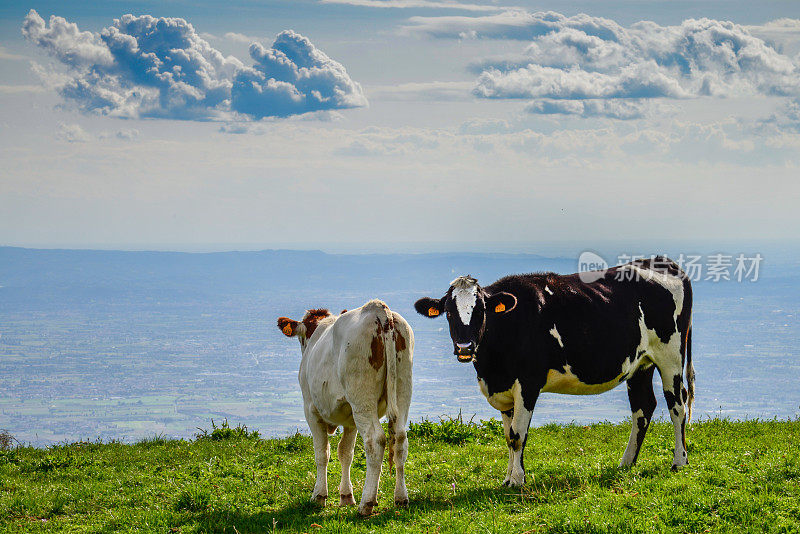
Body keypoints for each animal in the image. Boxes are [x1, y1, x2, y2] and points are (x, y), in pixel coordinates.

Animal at [276, 300, 412, 516]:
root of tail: (377, 308)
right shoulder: (351, 420)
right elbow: (345, 453)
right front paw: (346, 496)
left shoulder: (310, 410)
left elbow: (322, 453)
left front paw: (319, 496)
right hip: (401, 391)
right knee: (399, 440)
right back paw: (401, 498)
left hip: (362, 398)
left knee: (375, 441)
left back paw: (367, 503)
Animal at [416, 258, 696, 488]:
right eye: (448, 312)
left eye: (481, 310)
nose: (465, 347)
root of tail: (662, 261)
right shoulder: (504, 389)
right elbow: (507, 436)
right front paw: (507, 477)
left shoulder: (528, 383)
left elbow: (518, 435)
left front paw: (517, 480)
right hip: (640, 364)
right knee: (643, 408)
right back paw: (626, 463)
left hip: (670, 356)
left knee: (677, 405)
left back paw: (679, 461)